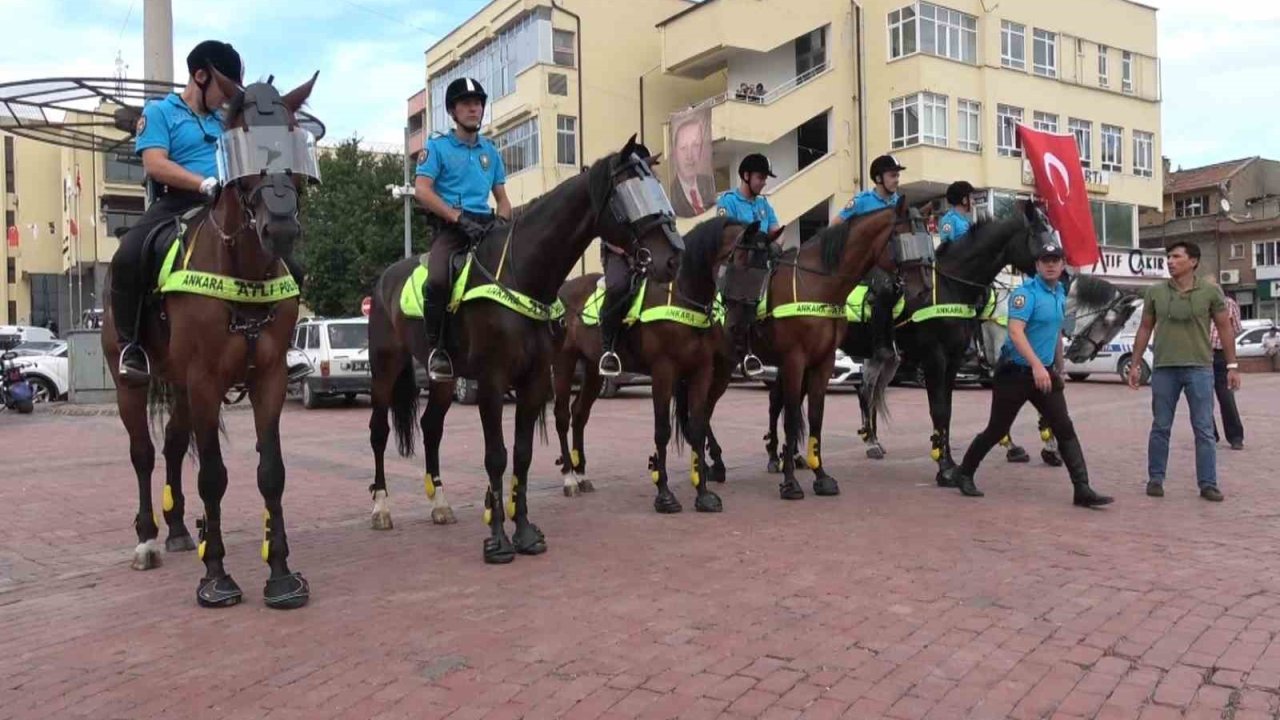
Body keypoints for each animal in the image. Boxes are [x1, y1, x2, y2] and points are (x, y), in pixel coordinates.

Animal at [103, 71, 320, 604]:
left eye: (293, 138)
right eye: (239, 139)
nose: (280, 227)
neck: (243, 273)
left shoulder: (267, 380)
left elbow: (271, 472)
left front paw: (280, 573)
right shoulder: (204, 382)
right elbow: (213, 477)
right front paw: (216, 575)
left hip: (180, 388)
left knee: (172, 447)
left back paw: (181, 529)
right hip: (132, 383)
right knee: (143, 453)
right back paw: (147, 540)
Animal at [366, 134, 686, 561]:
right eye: (631, 192)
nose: (674, 257)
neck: (522, 276)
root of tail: (384, 278)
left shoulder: (534, 381)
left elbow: (522, 454)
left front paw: (524, 532)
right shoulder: (492, 382)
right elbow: (496, 457)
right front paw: (498, 540)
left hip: (444, 379)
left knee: (431, 428)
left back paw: (440, 504)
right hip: (385, 368)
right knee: (379, 431)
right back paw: (381, 508)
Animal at [752, 196, 906, 499]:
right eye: (905, 234)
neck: (818, 285)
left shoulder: (822, 362)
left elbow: (817, 415)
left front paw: (820, 475)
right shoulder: (796, 360)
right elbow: (794, 418)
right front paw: (790, 483)